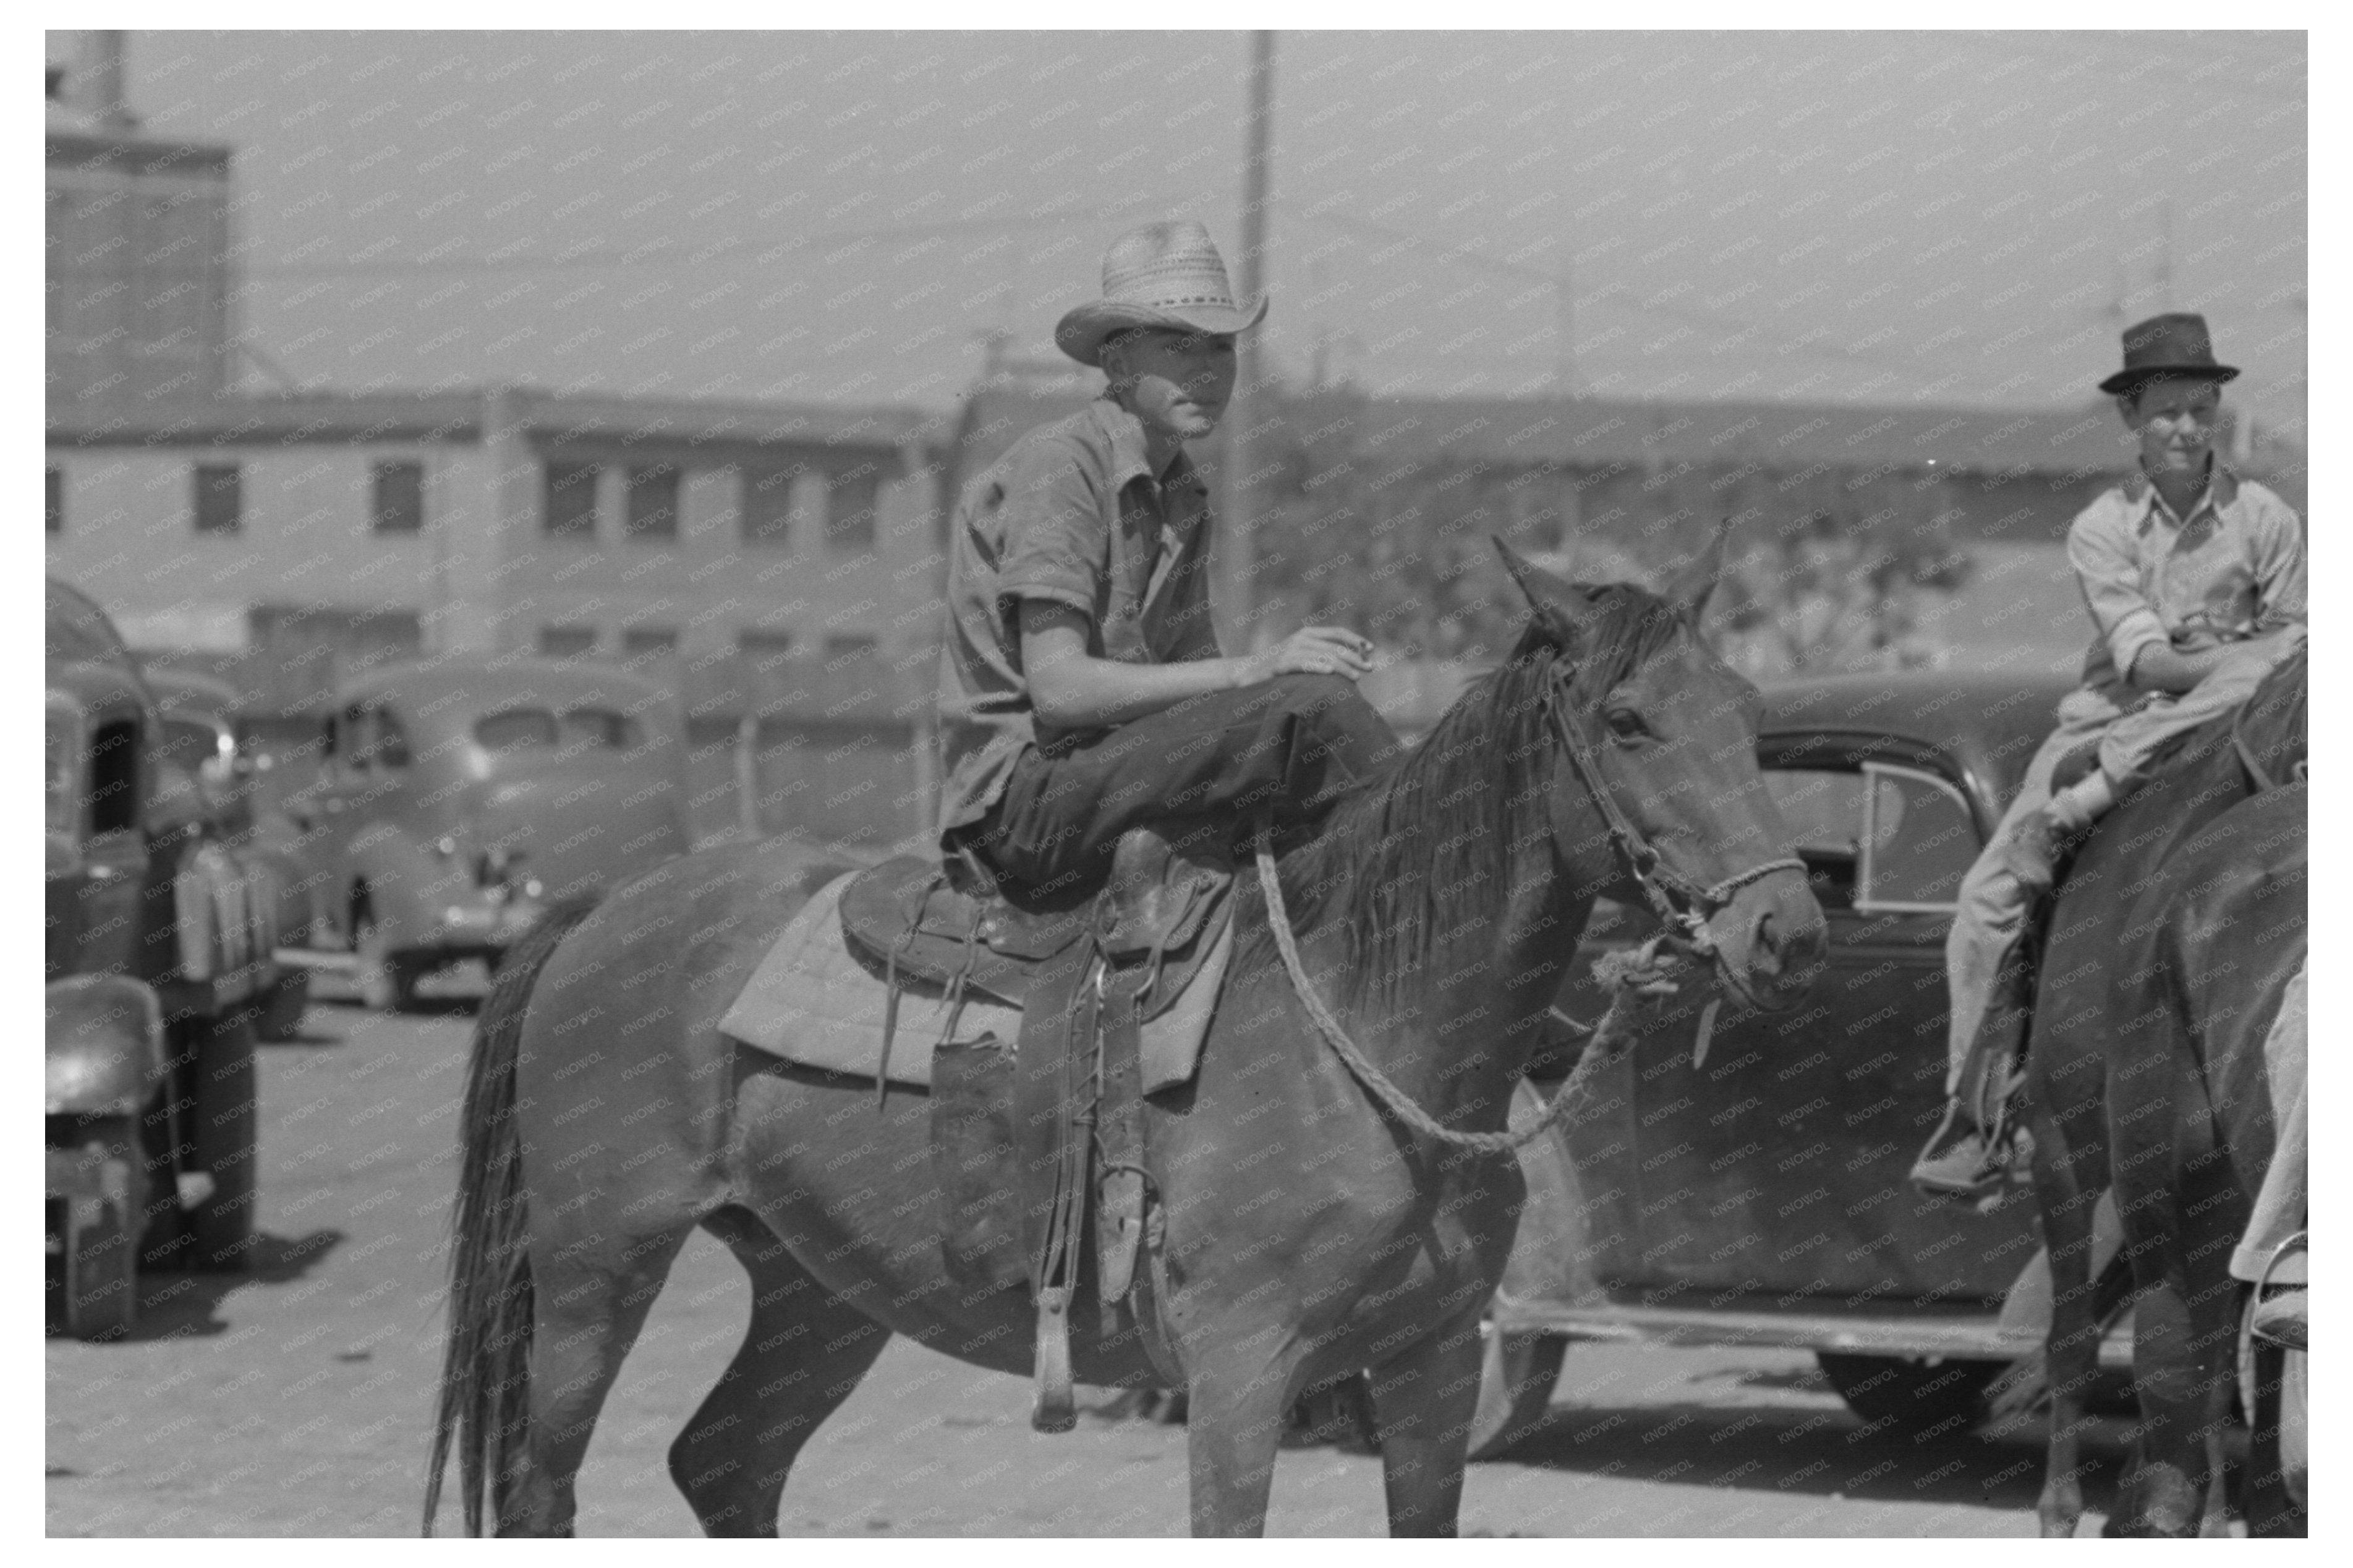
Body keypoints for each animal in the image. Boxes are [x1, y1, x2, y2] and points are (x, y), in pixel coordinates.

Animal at [419, 543, 1816, 1535]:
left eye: (1748, 713)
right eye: (1628, 721)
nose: (1786, 928)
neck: (1367, 1036)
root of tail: (604, 908)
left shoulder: (1425, 1371)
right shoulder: (1241, 1375)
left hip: (816, 1289)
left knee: (725, 1464)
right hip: (596, 1269)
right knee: (546, 1489)